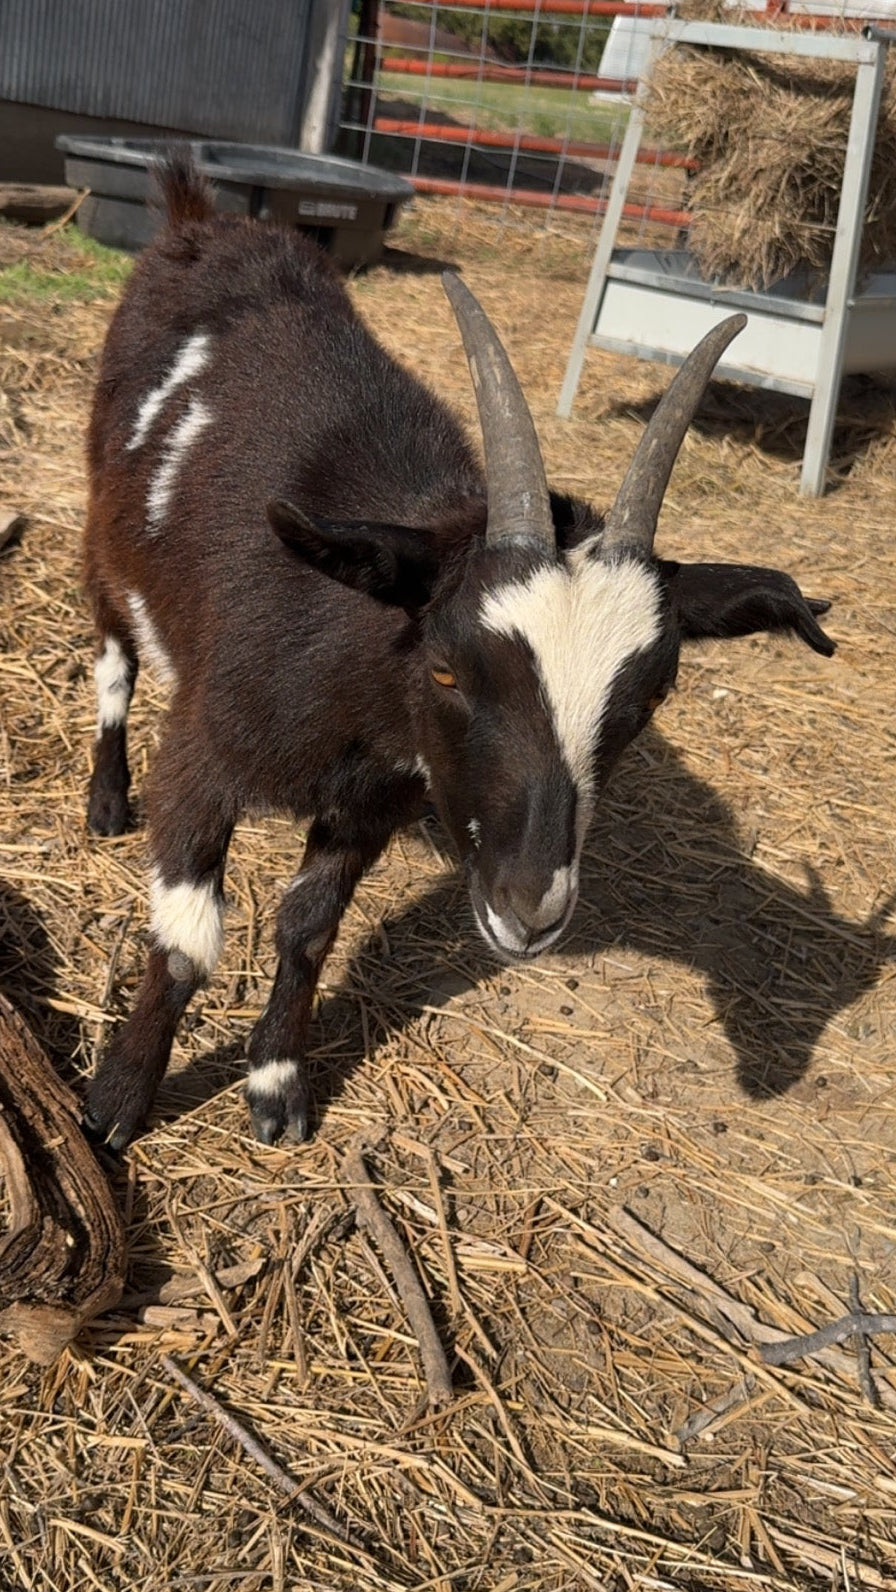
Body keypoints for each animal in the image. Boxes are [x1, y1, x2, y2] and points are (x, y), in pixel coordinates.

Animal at [82, 157, 834, 1151]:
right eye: (447, 668)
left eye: (650, 699)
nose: (530, 906)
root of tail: (199, 217)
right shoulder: (206, 755)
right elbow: (186, 941)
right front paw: (116, 1102)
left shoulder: (370, 806)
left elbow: (308, 929)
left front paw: (278, 1089)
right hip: (105, 534)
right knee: (113, 656)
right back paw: (103, 802)